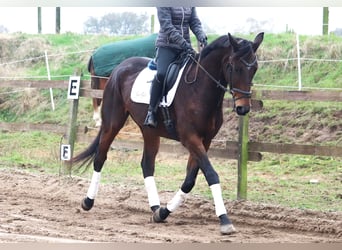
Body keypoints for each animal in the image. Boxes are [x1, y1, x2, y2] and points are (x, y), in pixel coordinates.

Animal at [71, 32, 264, 234]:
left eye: (254, 68)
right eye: (234, 67)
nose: (243, 108)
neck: (199, 89)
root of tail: (120, 67)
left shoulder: (205, 141)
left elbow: (189, 180)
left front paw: (163, 213)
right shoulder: (190, 139)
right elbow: (211, 174)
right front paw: (225, 220)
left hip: (150, 132)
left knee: (147, 165)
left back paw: (155, 207)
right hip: (112, 123)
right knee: (100, 157)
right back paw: (88, 201)